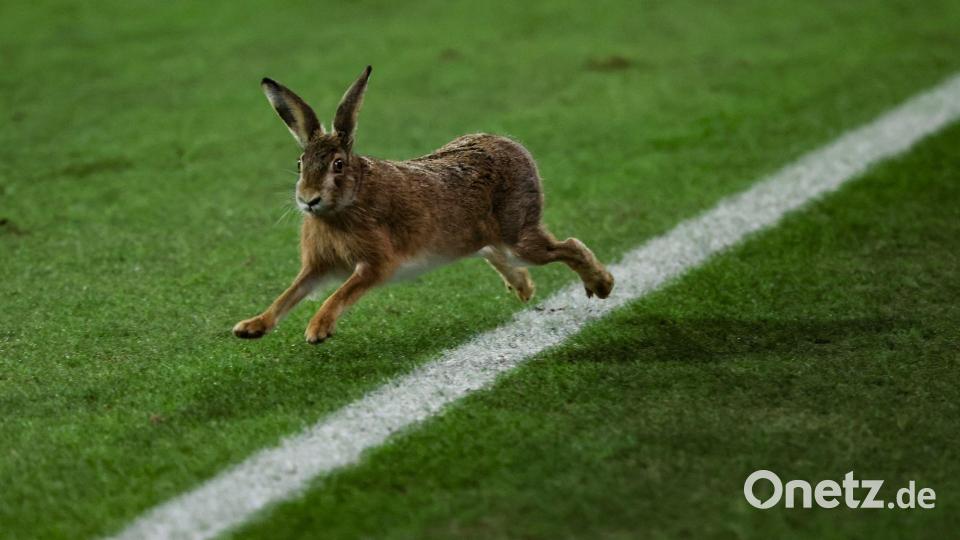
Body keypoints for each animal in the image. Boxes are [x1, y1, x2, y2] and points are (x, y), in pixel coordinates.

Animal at [233, 66, 615, 344]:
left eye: (338, 165)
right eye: (300, 164)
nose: (308, 199)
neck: (348, 202)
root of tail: (512, 146)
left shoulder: (376, 263)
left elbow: (341, 293)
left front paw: (317, 329)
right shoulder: (318, 266)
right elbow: (290, 294)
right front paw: (251, 326)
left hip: (518, 232)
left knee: (568, 246)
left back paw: (602, 285)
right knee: (495, 252)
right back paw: (524, 288)